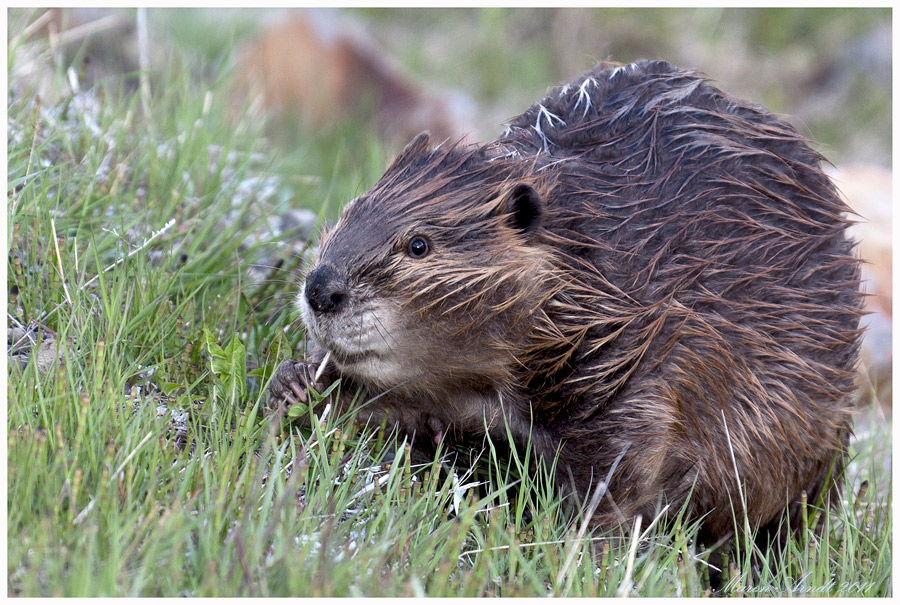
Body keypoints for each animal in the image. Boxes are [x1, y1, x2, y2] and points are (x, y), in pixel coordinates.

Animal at [270, 61, 860, 544]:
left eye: (418, 245)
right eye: (348, 212)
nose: (321, 289)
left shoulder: (649, 356)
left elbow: (618, 464)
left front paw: (573, 543)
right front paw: (295, 384)